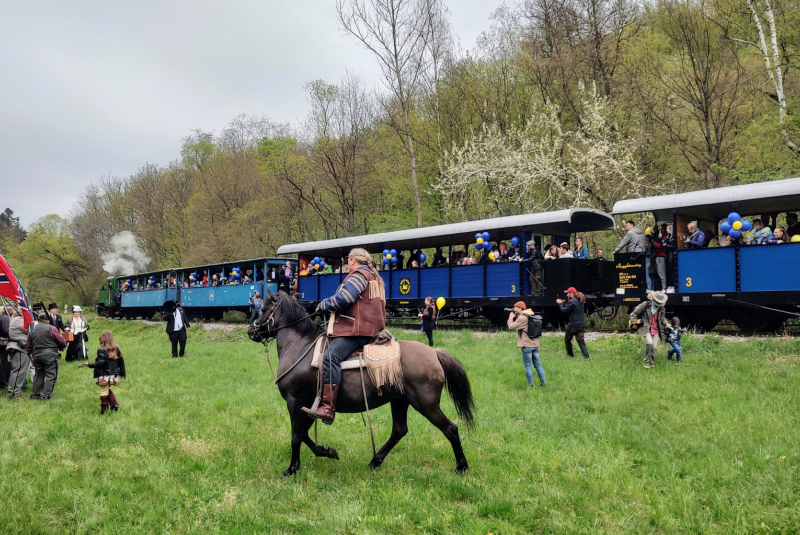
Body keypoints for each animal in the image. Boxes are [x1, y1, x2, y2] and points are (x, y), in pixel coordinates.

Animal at [248, 292, 476, 480]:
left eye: (265, 309)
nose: (251, 331)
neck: (300, 346)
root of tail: (434, 353)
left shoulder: (295, 402)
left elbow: (296, 436)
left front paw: (292, 469)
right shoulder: (309, 406)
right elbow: (304, 434)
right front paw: (327, 452)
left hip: (426, 405)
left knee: (450, 429)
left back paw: (461, 467)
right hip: (400, 401)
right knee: (399, 430)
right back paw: (375, 461)